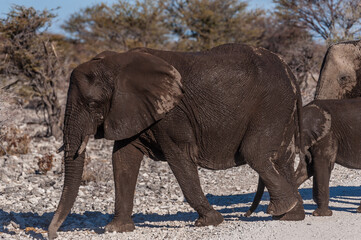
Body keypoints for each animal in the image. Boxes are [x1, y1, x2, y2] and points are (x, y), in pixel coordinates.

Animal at [46, 43, 302, 238]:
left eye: (92, 104)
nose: (53, 234)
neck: (118, 62)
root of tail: (288, 69)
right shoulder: (131, 109)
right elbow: (123, 160)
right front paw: (116, 229)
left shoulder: (172, 114)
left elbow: (179, 157)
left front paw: (209, 221)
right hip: (282, 107)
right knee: (282, 158)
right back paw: (291, 215)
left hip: (272, 102)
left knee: (255, 153)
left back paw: (281, 209)